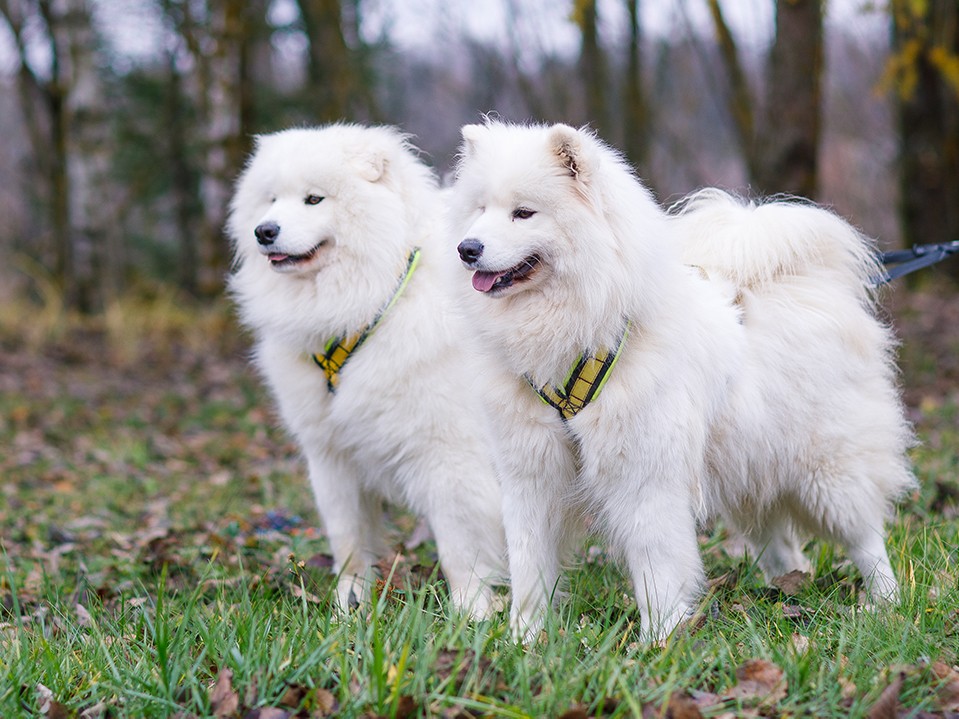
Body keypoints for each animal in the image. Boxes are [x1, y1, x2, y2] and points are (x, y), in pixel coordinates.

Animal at [228, 125, 506, 620]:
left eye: (314, 200)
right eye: (271, 200)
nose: (264, 231)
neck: (374, 301)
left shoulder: (450, 454)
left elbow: (461, 544)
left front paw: (471, 611)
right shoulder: (332, 454)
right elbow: (349, 539)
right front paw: (349, 604)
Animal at [450, 121, 916, 644]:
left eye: (523, 212)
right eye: (479, 210)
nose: (467, 249)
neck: (581, 334)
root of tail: (808, 286)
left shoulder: (645, 475)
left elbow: (656, 565)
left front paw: (659, 641)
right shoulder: (529, 473)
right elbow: (528, 563)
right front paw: (523, 639)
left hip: (828, 473)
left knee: (867, 537)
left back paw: (884, 604)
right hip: (751, 470)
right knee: (782, 544)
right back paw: (784, 592)